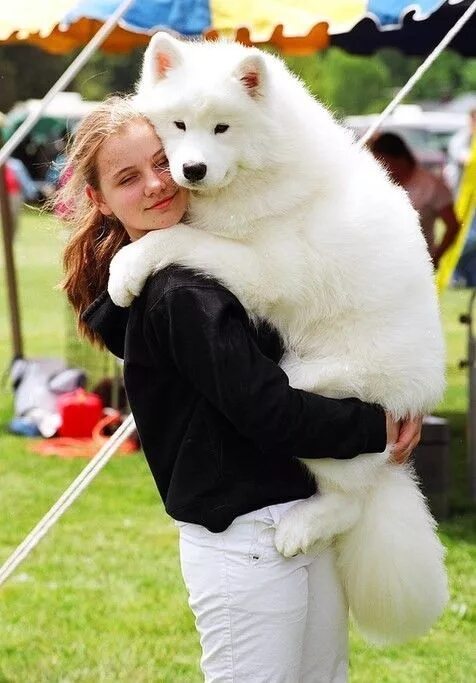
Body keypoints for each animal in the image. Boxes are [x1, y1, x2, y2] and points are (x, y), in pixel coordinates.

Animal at [107, 33, 446, 648]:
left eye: (222, 128)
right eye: (178, 124)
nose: (191, 169)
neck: (259, 168)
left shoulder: (262, 266)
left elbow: (174, 239)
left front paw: (125, 270)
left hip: (314, 392)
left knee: (349, 499)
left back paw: (302, 527)